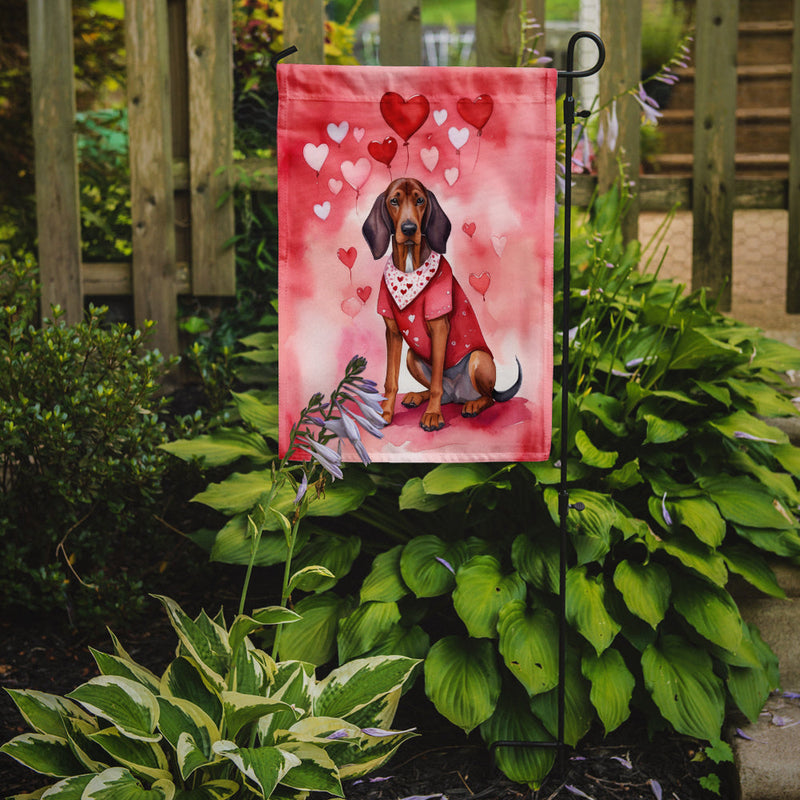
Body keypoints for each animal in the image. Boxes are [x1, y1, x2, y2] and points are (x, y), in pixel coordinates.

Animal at [364, 179, 524, 434]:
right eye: (394, 201)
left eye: (420, 200)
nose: (408, 228)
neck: (409, 269)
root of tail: (459, 394)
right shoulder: (393, 332)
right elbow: (391, 380)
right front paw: (386, 413)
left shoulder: (439, 328)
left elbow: (438, 381)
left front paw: (432, 415)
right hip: (412, 355)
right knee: (442, 392)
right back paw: (418, 396)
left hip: (478, 358)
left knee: (488, 397)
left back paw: (473, 405)